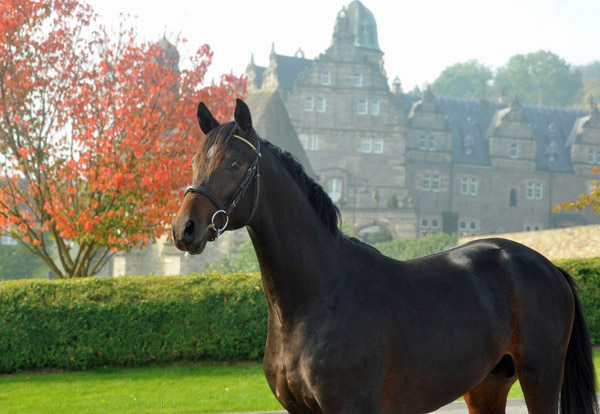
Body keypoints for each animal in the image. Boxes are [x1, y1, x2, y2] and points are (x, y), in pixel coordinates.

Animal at [171, 98, 596, 412]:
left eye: (234, 163)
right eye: (195, 161)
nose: (184, 229)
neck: (317, 298)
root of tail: (550, 267)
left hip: (541, 379)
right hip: (486, 385)